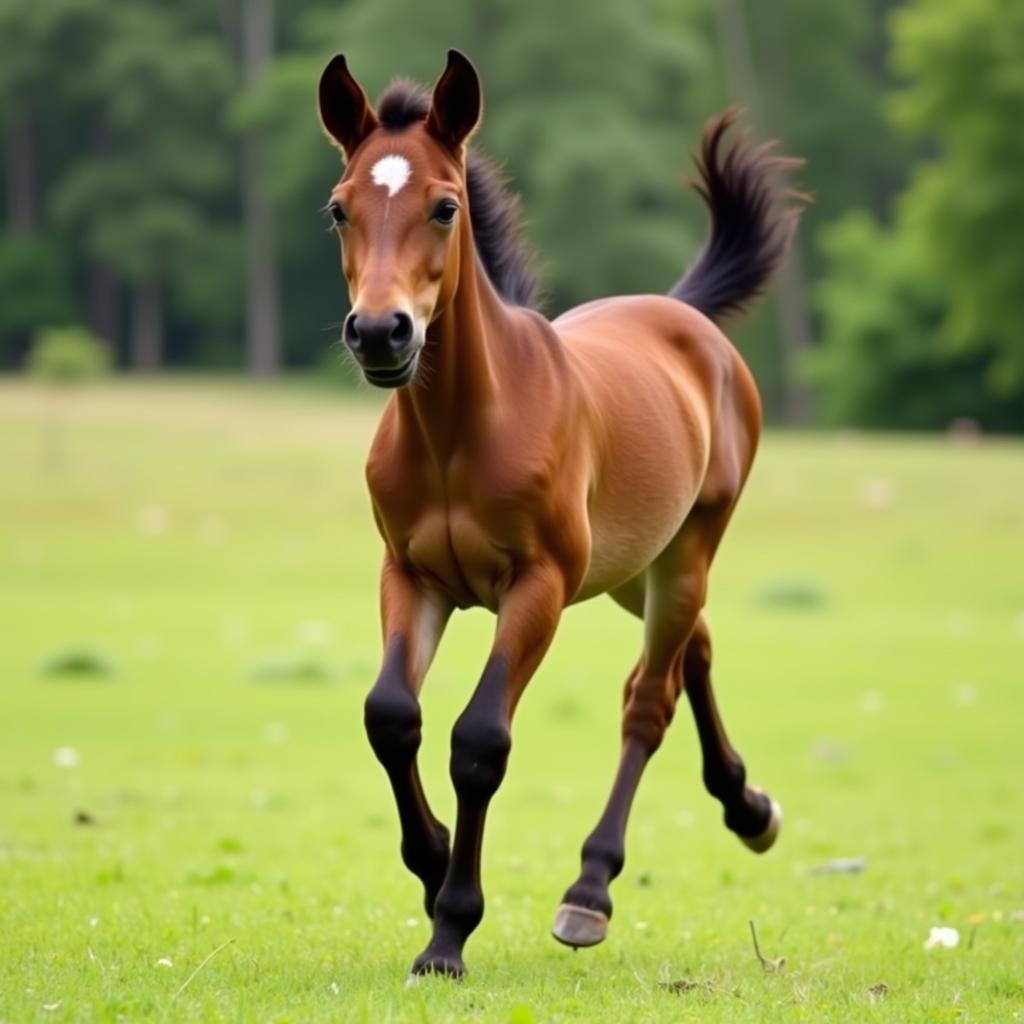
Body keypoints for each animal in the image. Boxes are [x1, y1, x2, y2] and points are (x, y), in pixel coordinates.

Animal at [315, 48, 802, 974]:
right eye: (338, 208)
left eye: (445, 205)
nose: (382, 334)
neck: (462, 433)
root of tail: (684, 315)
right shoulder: (412, 576)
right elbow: (390, 716)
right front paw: (432, 862)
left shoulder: (537, 586)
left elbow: (479, 741)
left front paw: (451, 929)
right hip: (631, 570)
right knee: (696, 650)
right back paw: (748, 807)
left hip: (684, 553)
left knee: (649, 699)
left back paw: (590, 892)